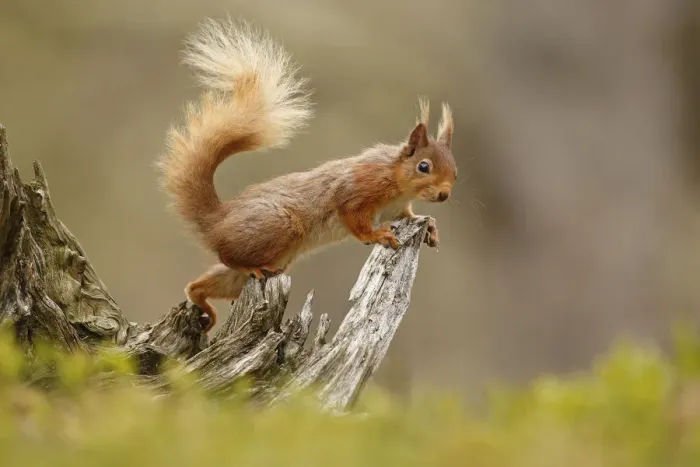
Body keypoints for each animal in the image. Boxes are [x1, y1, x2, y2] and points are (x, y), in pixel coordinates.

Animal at [157, 17, 458, 332]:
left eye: (456, 172)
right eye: (424, 166)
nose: (444, 194)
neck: (396, 180)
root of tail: (216, 218)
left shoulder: (397, 209)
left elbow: (410, 217)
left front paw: (431, 226)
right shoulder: (358, 189)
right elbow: (355, 218)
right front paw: (377, 235)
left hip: (271, 261)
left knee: (204, 282)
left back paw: (201, 298)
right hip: (278, 226)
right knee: (228, 256)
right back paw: (249, 267)